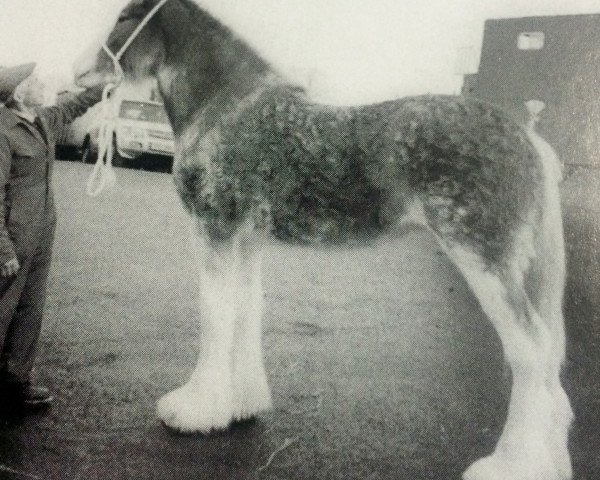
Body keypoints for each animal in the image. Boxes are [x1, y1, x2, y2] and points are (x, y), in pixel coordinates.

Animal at [74, 1, 572, 478]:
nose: (79, 72)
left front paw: (194, 410)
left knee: (531, 353)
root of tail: (529, 140)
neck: (226, 108)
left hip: (484, 262)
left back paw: (512, 465)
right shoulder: (245, 240)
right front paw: (241, 403)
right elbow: (244, 311)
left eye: (124, 16)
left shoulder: (214, 231)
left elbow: (216, 316)